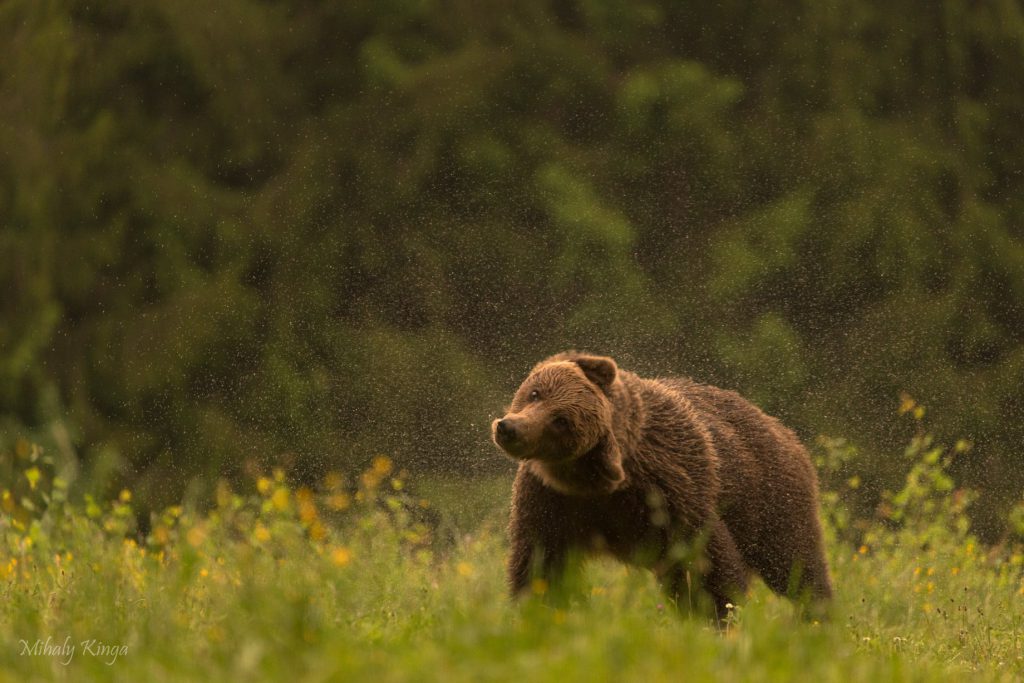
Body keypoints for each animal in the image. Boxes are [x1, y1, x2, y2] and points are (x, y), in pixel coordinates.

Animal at [489, 352, 831, 618]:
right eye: (536, 393)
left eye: (561, 421)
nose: (509, 428)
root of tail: (784, 430)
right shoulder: (551, 500)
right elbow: (540, 563)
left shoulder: (668, 490)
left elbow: (708, 564)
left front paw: (716, 617)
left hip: (770, 496)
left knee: (795, 563)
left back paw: (818, 617)